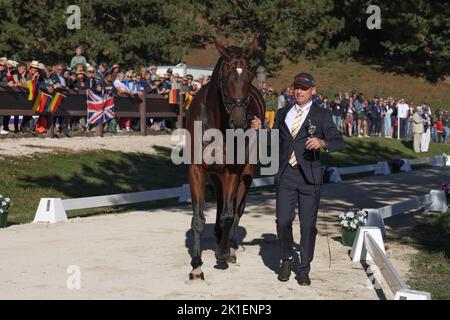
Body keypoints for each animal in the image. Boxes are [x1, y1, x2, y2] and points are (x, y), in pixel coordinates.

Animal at [185, 40, 266, 280]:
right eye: (226, 76)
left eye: (249, 76)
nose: (239, 121)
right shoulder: (197, 170)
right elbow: (198, 217)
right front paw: (196, 265)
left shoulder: (232, 171)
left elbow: (229, 215)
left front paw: (222, 255)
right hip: (215, 175)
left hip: (245, 173)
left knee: (236, 208)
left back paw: (229, 246)